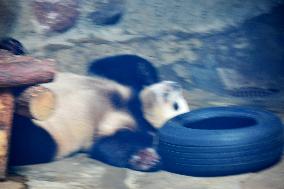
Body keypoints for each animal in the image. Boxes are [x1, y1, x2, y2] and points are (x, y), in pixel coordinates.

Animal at [10, 72, 190, 171]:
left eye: (176, 105)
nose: (175, 84)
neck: (136, 108)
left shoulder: (118, 125)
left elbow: (106, 145)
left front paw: (146, 159)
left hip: (53, 137)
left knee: (35, 142)